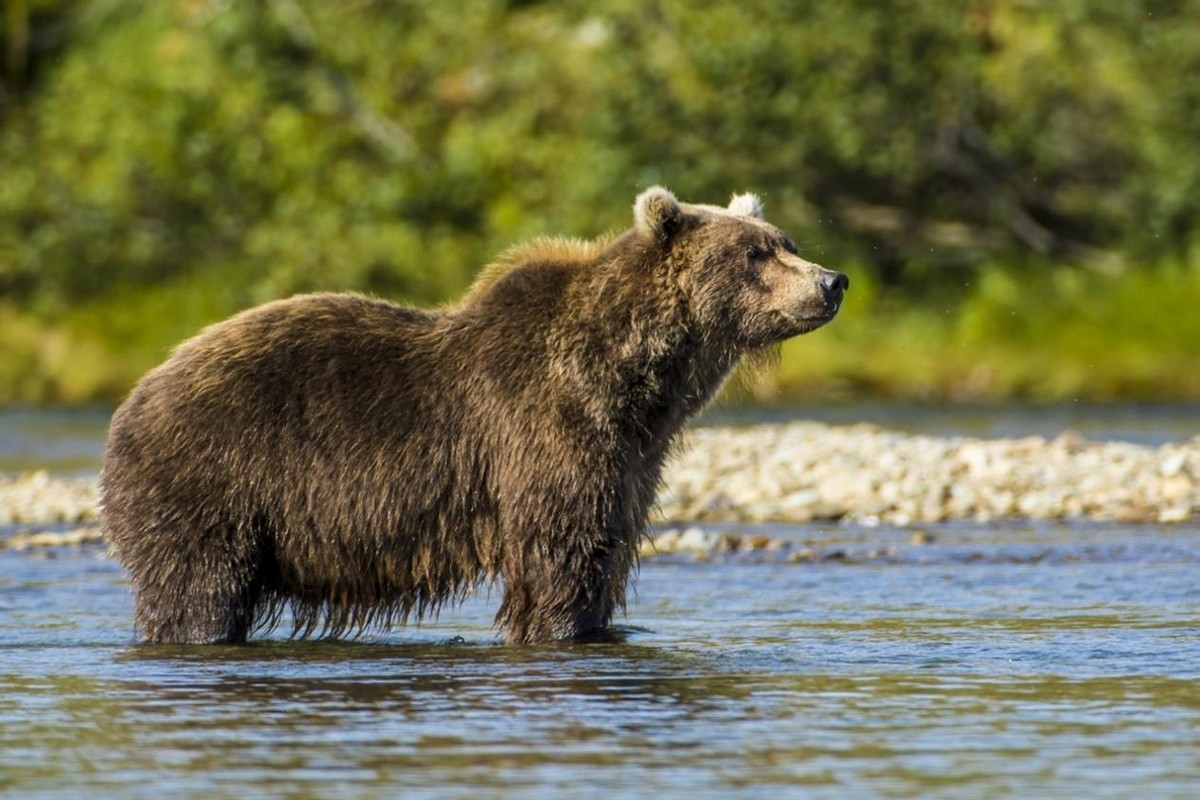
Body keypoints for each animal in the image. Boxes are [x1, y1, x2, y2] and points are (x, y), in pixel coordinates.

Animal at [100, 189, 844, 652]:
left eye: (785, 240)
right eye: (753, 253)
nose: (831, 280)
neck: (634, 379)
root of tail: (134, 397)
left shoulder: (633, 456)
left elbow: (608, 548)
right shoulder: (546, 428)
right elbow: (560, 553)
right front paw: (559, 626)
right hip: (213, 479)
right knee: (197, 589)